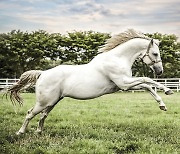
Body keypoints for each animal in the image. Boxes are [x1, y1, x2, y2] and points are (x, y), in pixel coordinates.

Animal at [8, 29, 173, 135]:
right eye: (155, 53)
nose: (160, 71)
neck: (117, 59)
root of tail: (42, 74)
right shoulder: (123, 83)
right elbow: (147, 80)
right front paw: (167, 92)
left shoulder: (123, 85)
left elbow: (147, 86)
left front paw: (162, 104)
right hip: (44, 102)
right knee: (30, 113)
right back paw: (20, 132)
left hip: (52, 102)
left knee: (43, 115)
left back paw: (39, 132)